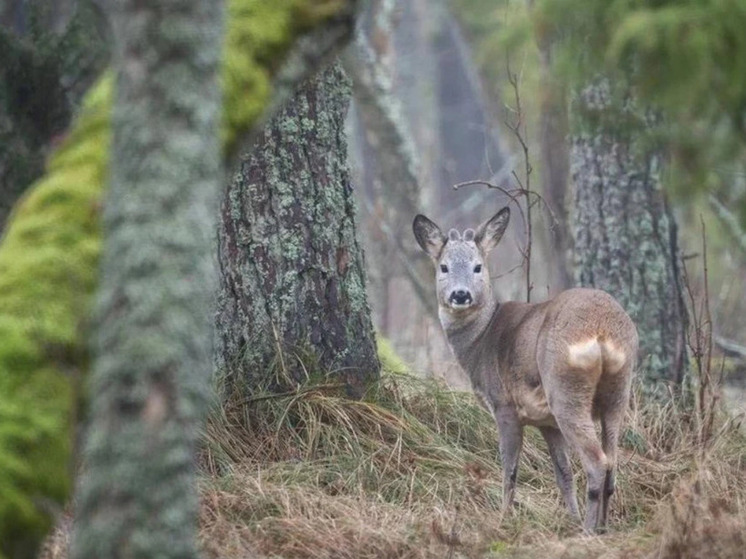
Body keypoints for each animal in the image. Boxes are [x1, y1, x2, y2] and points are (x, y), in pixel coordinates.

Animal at [410, 207, 636, 532]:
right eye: (443, 267)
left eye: (478, 267)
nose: (460, 295)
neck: (481, 341)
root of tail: (601, 333)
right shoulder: (546, 422)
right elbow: (563, 474)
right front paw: (569, 517)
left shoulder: (504, 404)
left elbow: (509, 469)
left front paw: (503, 518)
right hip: (619, 389)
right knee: (612, 461)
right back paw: (602, 526)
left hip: (565, 390)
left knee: (597, 461)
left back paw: (588, 531)